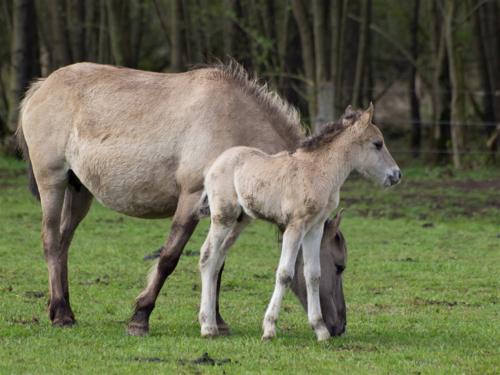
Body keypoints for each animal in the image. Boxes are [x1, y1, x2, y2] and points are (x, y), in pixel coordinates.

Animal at [14, 61, 344, 338]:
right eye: (340, 266)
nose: (339, 326)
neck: (234, 121)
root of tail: (41, 87)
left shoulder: (226, 212)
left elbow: (218, 263)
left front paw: (217, 321)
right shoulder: (191, 199)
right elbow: (169, 258)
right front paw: (140, 317)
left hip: (79, 191)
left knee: (64, 243)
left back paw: (61, 308)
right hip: (52, 182)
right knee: (51, 240)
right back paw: (62, 315)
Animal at [197, 104, 400, 342]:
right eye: (377, 143)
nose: (396, 174)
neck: (319, 171)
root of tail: (214, 165)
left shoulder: (314, 228)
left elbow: (313, 274)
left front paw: (320, 330)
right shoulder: (295, 226)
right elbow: (285, 274)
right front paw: (269, 329)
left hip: (239, 220)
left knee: (217, 260)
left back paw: (212, 324)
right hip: (223, 217)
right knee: (207, 256)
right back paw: (207, 326)